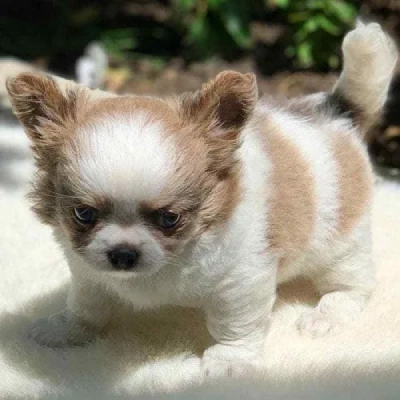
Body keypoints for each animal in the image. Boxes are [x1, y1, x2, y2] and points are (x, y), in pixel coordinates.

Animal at [5, 22, 396, 378]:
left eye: (169, 218)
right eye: (83, 214)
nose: (122, 254)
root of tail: (338, 110)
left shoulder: (241, 281)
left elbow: (235, 326)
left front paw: (228, 361)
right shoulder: (88, 272)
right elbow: (86, 305)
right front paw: (66, 329)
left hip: (341, 245)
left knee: (354, 285)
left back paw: (325, 315)